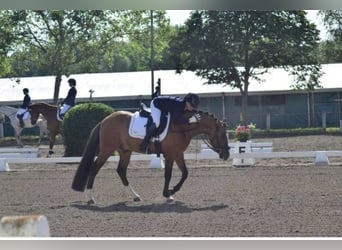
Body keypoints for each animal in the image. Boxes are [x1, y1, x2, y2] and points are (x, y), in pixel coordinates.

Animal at [72, 110, 230, 204]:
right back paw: (90, 198)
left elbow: (185, 173)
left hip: (125, 151)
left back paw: (135, 196)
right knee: (94, 169)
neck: (181, 127)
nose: (227, 154)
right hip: (106, 150)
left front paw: (171, 191)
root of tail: (104, 120)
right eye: (222, 135)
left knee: (121, 171)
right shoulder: (170, 154)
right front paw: (168, 193)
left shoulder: (178, 153)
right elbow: (168, 174)